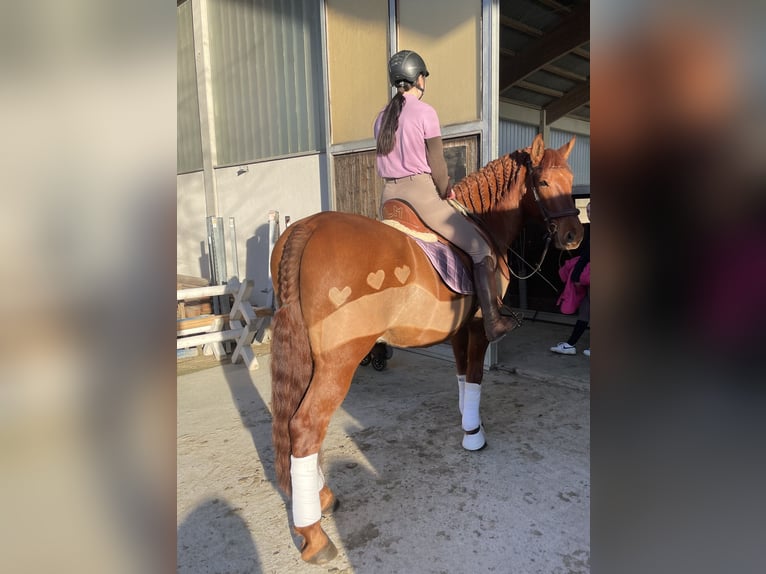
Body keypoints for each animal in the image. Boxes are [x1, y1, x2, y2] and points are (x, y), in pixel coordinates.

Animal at [269, 134, 583, 564]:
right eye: (545, 183)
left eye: (572, 181)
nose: (574, 236)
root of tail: (307, 229)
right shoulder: (478, 327)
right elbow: (476, 376)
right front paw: (474, 435)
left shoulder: (457, 331)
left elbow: (462, 377)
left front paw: (467, 418)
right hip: (339, 360)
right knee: (306, 426)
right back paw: (314, 535)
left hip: (308, 356)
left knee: (292, 422)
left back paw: (322, 497)